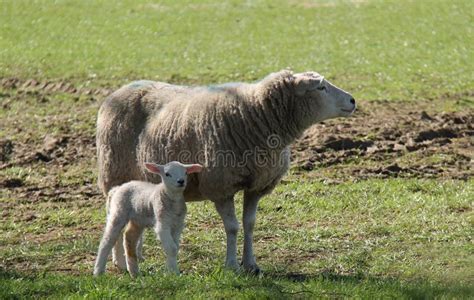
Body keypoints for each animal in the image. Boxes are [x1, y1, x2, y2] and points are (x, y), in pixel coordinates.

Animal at [97, 69, 356, 272]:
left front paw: (250, 264)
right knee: (114, 222)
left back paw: (137, 255)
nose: (353, 100)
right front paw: (231, 265)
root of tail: (118, 92)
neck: (255, 115)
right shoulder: (221, 186)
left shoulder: (257, 186)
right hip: (114, 175)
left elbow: (250, 224)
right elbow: (232, 227)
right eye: (321, 87)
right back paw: (120, 262)